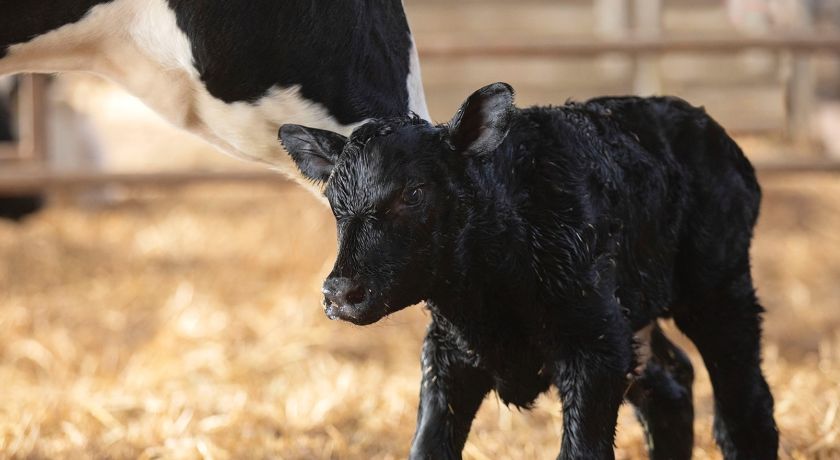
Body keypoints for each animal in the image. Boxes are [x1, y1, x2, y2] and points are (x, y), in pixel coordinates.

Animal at [278, 83, 776, 460]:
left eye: (414, 192)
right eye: (333, 202)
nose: (340, 293)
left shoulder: (593, 350)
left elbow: (582, 451)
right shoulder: (448, 353)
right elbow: (428, 446)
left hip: (720, 292)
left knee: (746, 408)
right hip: (632, 318)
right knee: (670, 388)